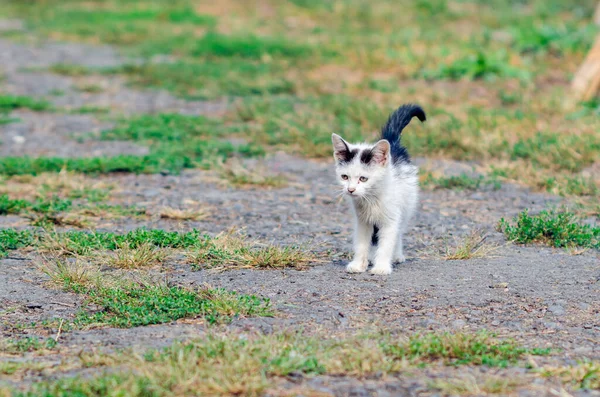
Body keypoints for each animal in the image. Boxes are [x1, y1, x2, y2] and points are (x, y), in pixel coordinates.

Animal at [330, 103, 424, 274]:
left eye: (363, 179)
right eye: (345, 177)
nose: (351, 190)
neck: (371, 199)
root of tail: (393, 144)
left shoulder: (391, 218)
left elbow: (387, 243)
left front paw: (381, 267)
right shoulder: (362, 221)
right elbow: (362, 243)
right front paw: (358, 264)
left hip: (407, 204)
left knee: (399, 231)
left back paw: (397, 255)